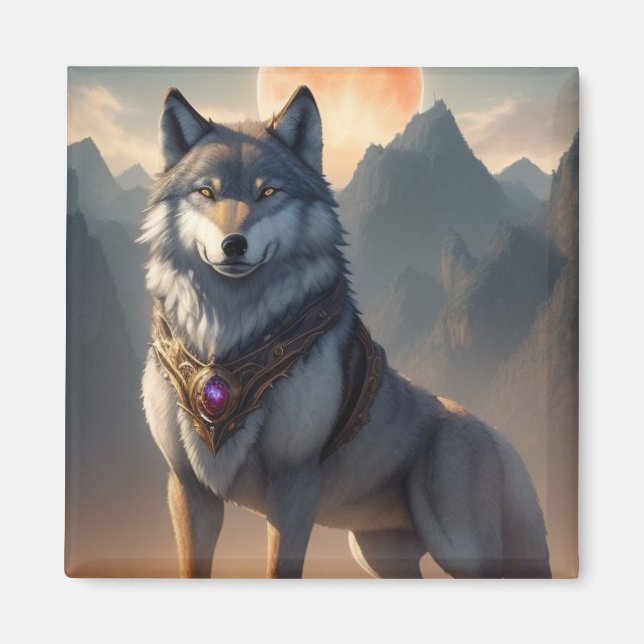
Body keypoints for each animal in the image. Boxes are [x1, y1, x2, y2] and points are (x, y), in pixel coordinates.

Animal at [139, 85, 551, 579]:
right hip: (380, 557)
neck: (227, 344)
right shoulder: (188, 488)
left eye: (268, 192)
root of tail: (501, 438)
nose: (233, 245)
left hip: (462, 553)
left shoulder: (294, 484)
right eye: (206, 191)